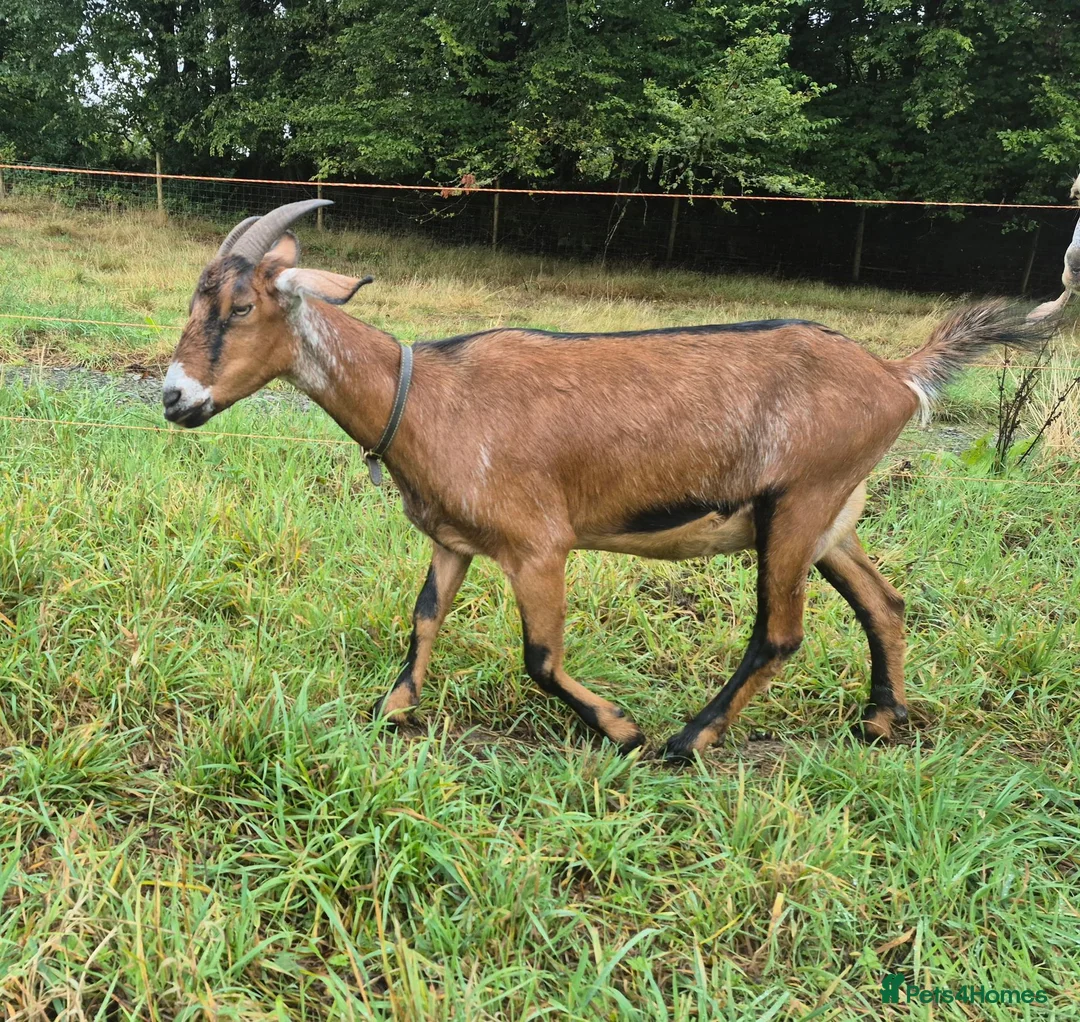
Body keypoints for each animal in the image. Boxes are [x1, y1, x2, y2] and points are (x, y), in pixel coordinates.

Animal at [163, 200, 1055, 761]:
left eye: (240, 308)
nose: (174, 397)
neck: (427, 396)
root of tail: (895, 376)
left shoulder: (538, 545)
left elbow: (539, 656)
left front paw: (619, 730)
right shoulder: (454, 540)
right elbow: (422, 620)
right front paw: (391, 713)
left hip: (797, 504)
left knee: (779, 633)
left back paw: (687, 742)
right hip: (829, 515)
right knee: (884, 601)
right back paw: (880, 721)